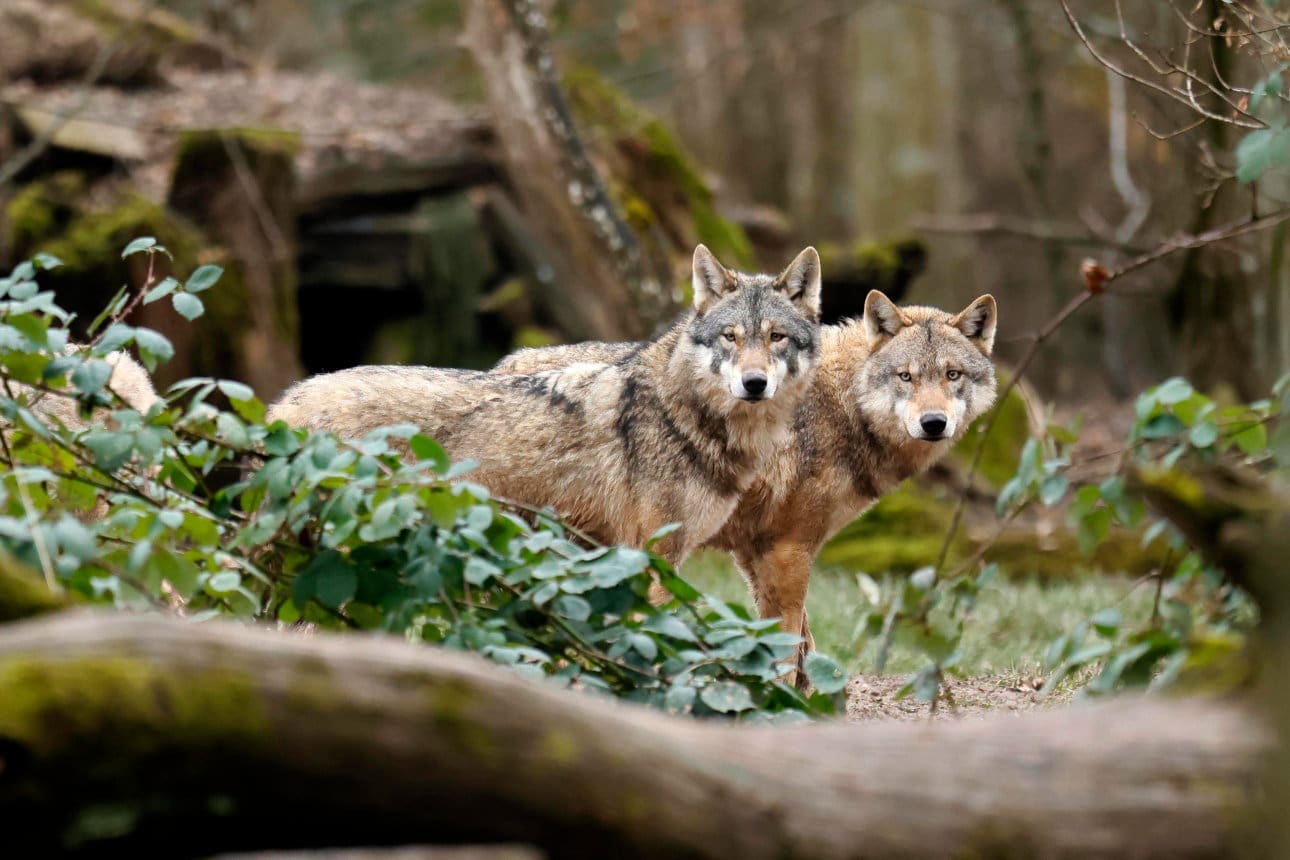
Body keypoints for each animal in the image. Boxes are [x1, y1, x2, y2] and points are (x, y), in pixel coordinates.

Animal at [267, 243, 820, 564]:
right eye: (731, 337)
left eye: (776, 338)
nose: (754, 383)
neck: (683, 413)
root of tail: (285, 401)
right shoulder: (653, 558)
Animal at [492, 292, 995, 680]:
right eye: (906, 376)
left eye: (952, 375)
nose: (934, 423)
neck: (841, 407)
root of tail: (508, 361)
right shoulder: (790, 547)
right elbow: (787, 640)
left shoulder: (757, 549)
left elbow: (801, 640)